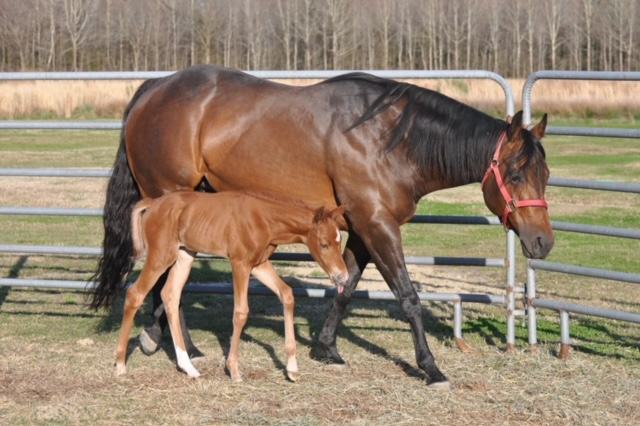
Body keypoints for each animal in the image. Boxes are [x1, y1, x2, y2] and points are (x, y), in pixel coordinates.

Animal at [115, 190, 348, 381]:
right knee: (135, 293)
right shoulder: (240, 264)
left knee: (170, 294)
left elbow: (287, 294)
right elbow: (241, 312)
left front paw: (291, 369)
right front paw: (234, 370)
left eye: (339, 242)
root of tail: (153, 203)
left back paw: (188, 367)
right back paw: (120, 365)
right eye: (324, 244)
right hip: (161, 255)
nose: (343, 277)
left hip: (185, 254)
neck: (264, 219)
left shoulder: (259, 264)